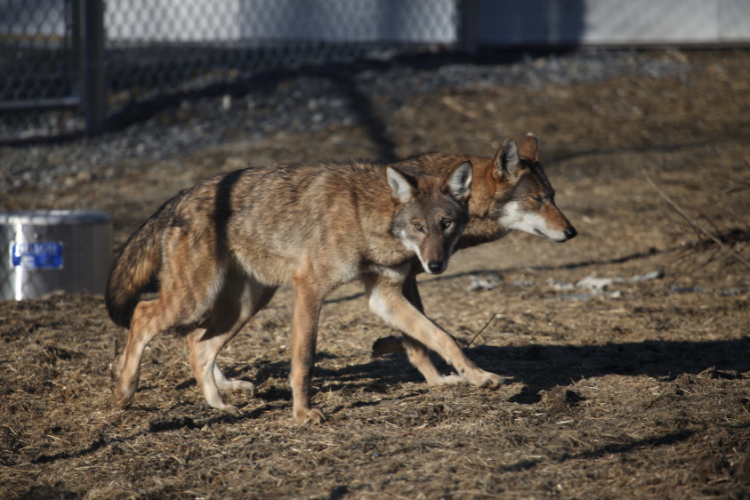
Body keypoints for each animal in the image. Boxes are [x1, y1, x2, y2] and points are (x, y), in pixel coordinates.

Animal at [106, 160, 504, 423]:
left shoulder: (384, 298)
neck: (366, 215)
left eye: (446, 224)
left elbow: (442, 337)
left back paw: (219, 406)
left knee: (197, 346)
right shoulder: (310, 288)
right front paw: (302, 413)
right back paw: (124, 392)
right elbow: (304, 361)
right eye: (419, 226)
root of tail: (183, 195)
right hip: (193, 300)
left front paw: (476, 377)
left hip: (246, 305)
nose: (435, 266)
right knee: (143, 316)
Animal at [370, 133, 577, 371]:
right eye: (537, 199)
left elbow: (418, 325)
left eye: (553, 196)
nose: (572, 232)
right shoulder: (405, 277)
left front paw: (386, 344)